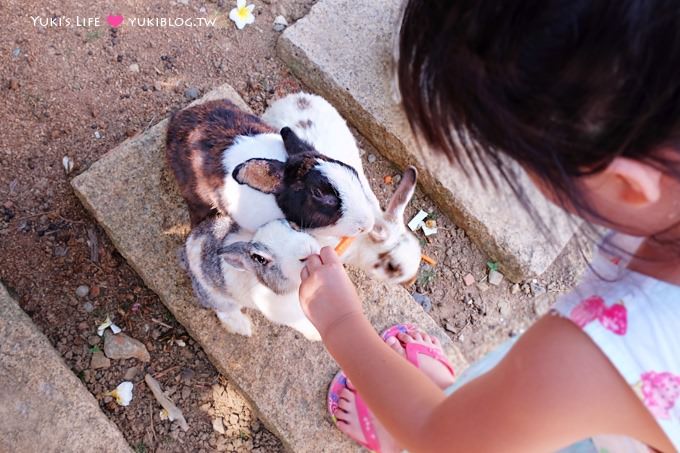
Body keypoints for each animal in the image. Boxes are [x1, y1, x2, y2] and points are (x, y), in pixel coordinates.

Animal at [183, 215, 322, 340]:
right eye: (260, 259)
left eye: (293, 226)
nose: (307, 252)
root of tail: (188, 245)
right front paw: (316, 335)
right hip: (216, 296)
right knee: (224, 311)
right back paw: (243, 327)